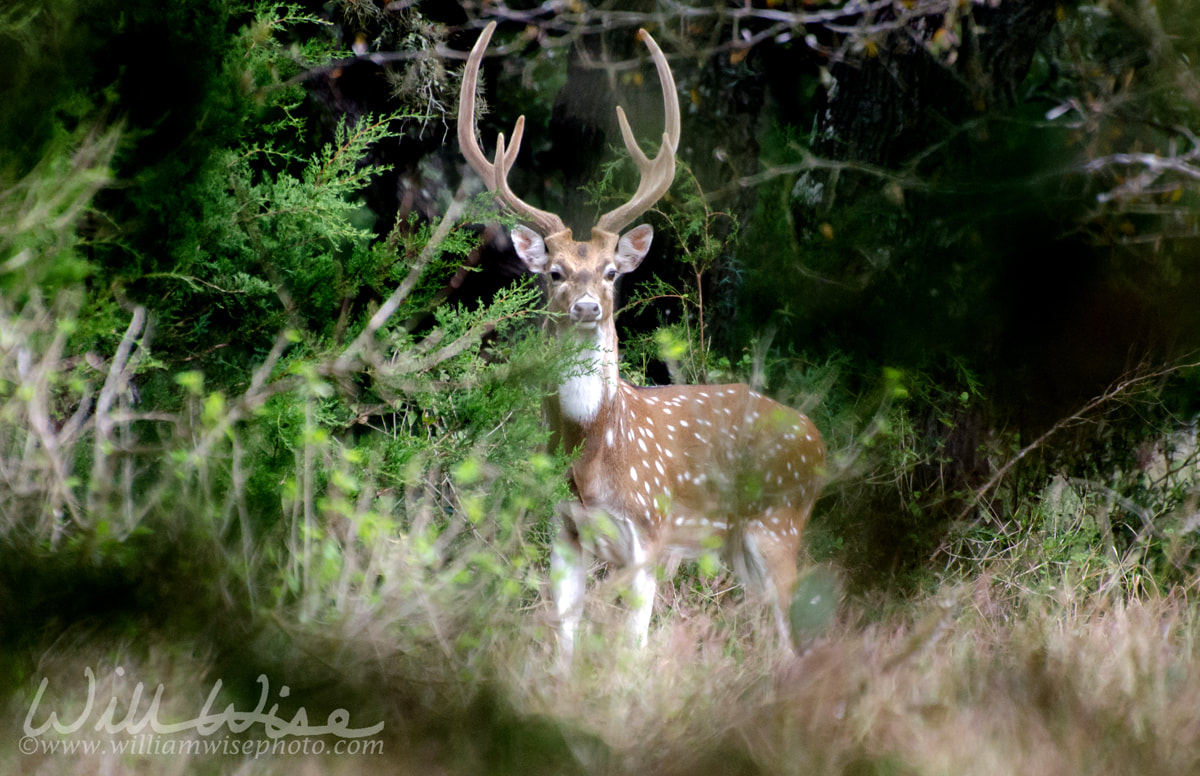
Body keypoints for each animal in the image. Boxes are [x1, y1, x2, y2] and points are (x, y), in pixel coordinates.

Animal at [458, 21, 825, 657]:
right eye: (555, 273)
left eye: (611, 272)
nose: (586, 306)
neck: (595, 454)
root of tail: (819, 440)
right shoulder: (563, 531)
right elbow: (565, 640)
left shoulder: (651, 536)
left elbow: (631, 654)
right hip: (740, 546)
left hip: (779, 525)